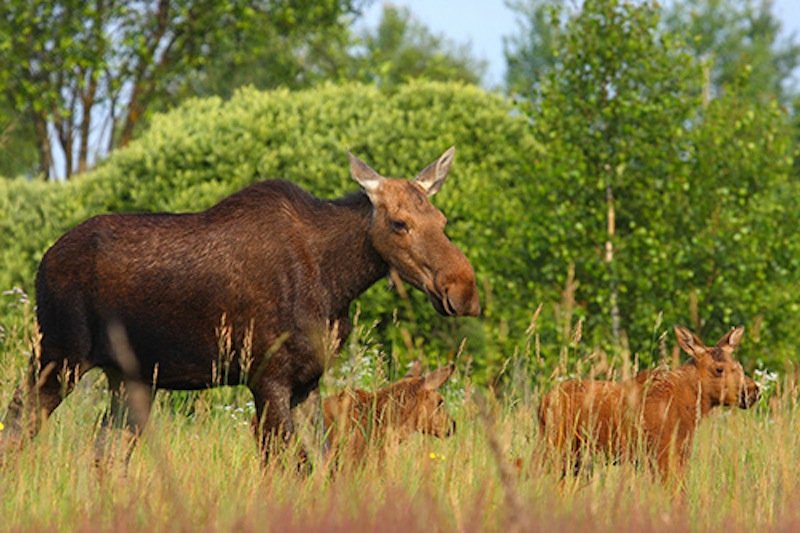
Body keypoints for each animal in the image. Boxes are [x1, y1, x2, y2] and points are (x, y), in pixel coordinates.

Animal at [0, 147, 478, 466]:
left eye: (441, 220)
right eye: (399, 223)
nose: (463, 289)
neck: (337, 283)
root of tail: (44, 261)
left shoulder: (308, 382)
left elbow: (321, 463)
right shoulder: (267, 378)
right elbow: (291, 465)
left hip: (128, 377)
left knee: (105, 454)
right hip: (58, 355)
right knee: (19, 426)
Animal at [540, 324, 760, 478]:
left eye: (738, 364)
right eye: (719, 369)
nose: (753, 390)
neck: (690, 406)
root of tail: (542, 402)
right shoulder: (662, 454)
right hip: (556, 446)